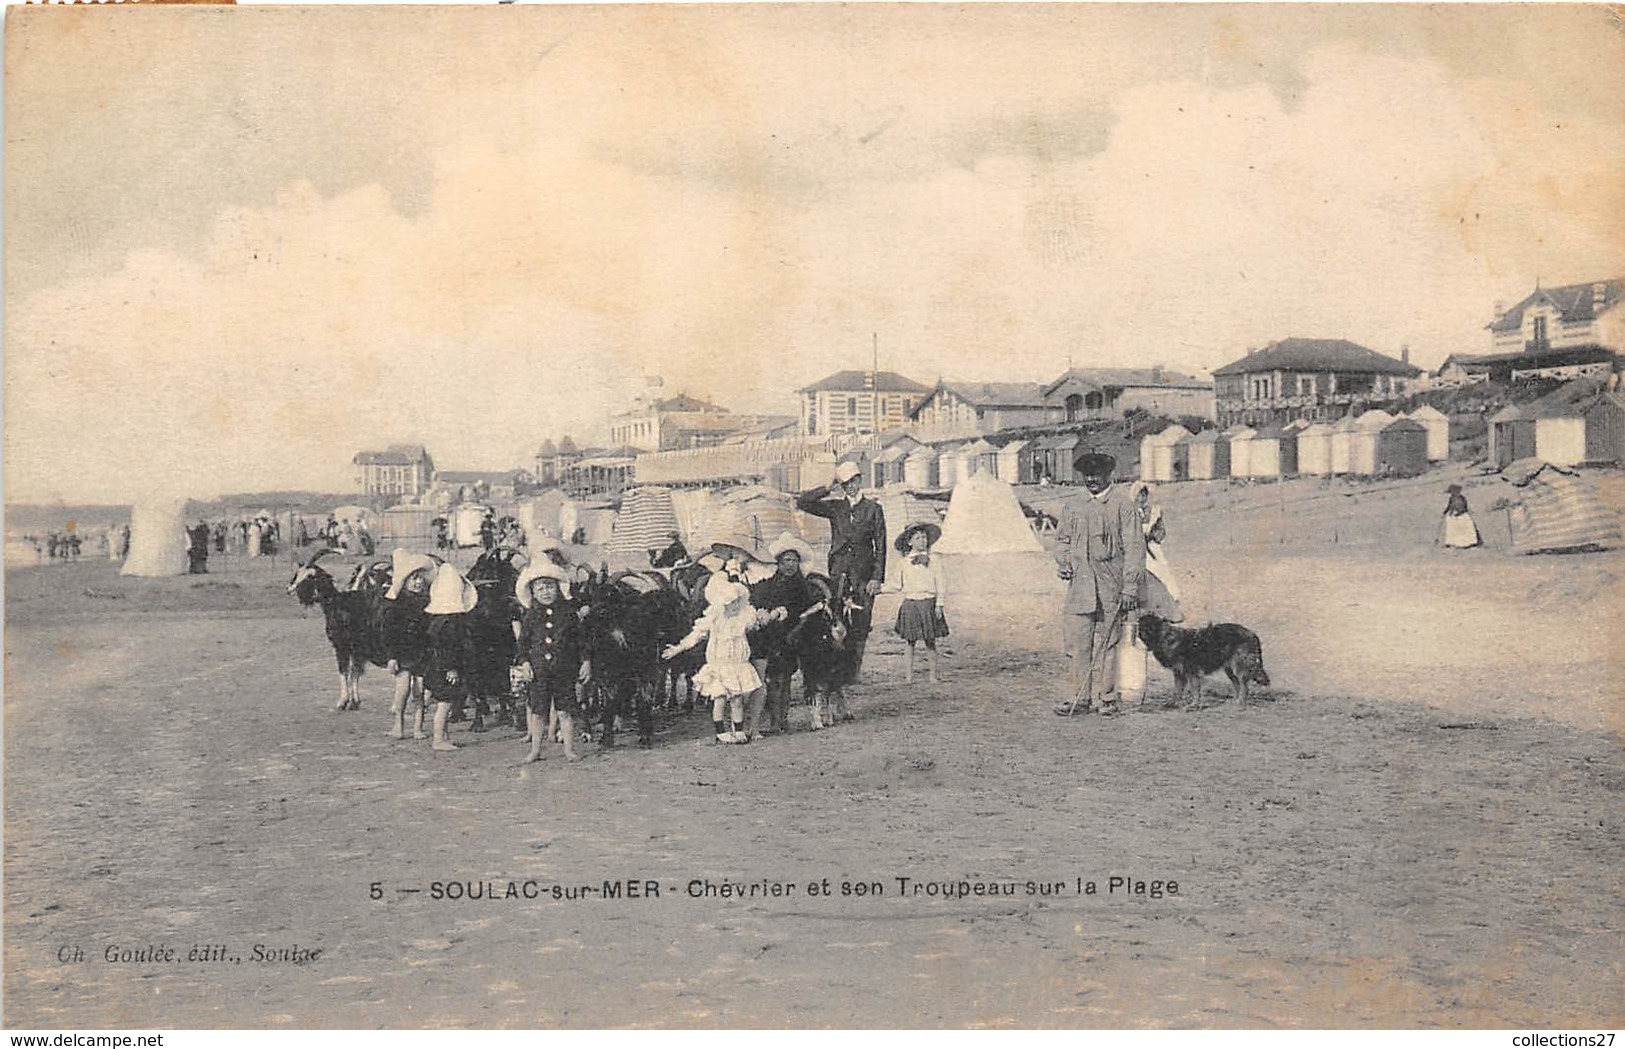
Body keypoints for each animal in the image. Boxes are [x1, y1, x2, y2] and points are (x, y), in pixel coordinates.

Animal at [1131, 613, 1267, 711]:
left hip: (1239, 666)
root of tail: (1252, 633)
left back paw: (1240, 703)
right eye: (1142, 626)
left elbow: (1195, 689)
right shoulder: (1179, 673)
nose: (1141, 633)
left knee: (1244, 685)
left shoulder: (1192, 672)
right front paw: (1174, 703)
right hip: (1229, 668)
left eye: (1150, 628)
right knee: (1237, 683)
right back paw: (1234, 701)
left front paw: (1194, 705)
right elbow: (1177, 690)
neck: (1167, 638)